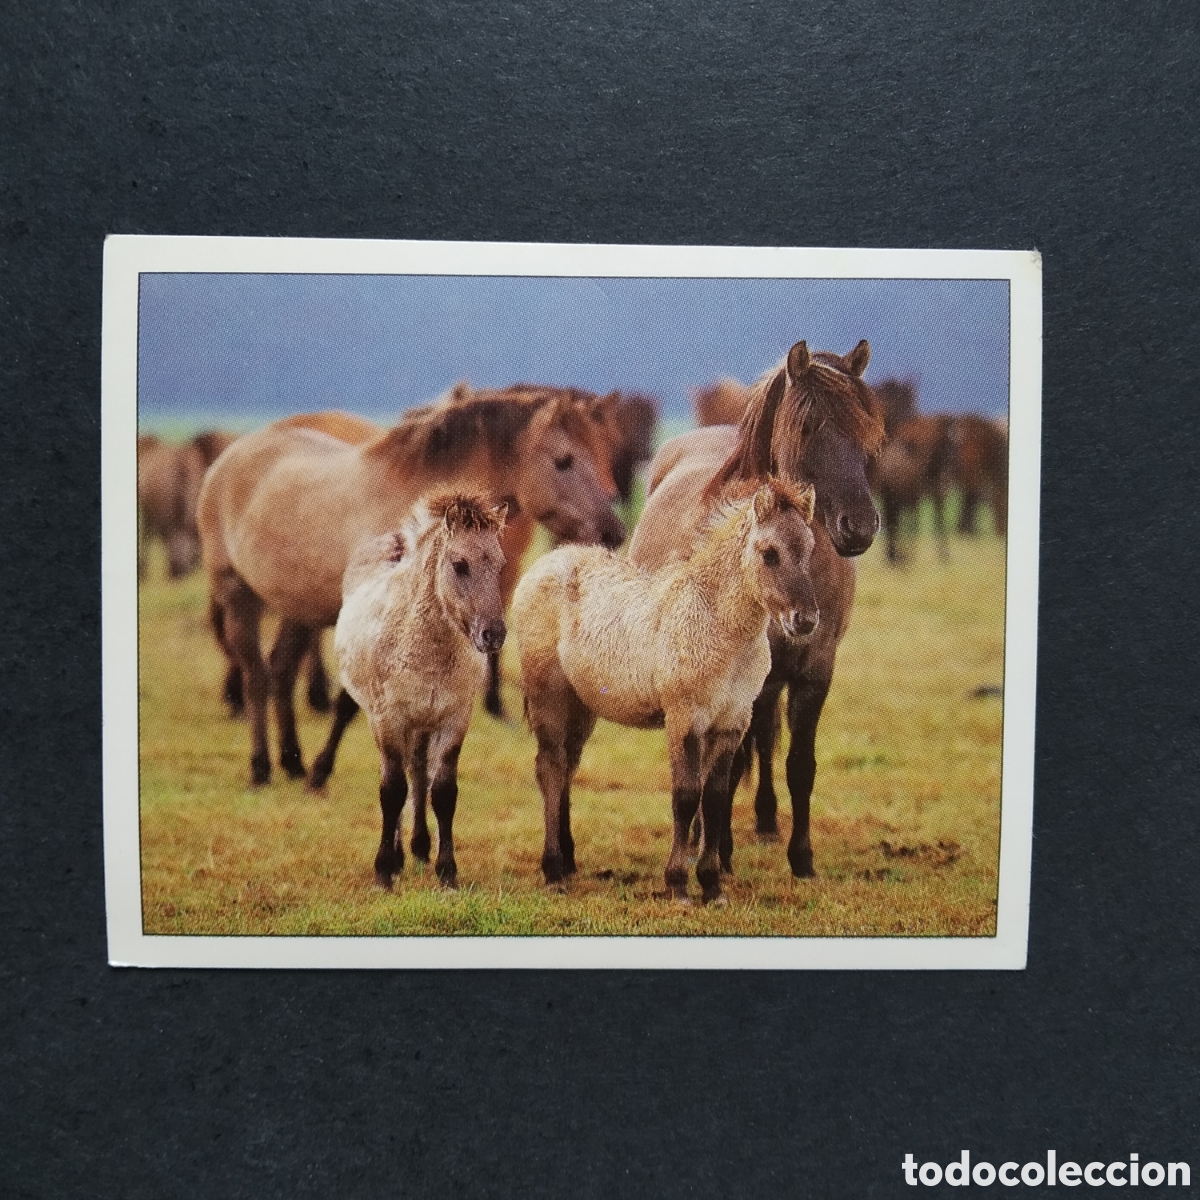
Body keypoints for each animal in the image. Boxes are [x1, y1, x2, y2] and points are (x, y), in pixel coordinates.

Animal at [198, 391, 625, 787]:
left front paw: (320, 770)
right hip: (237, 593)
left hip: (298, 608)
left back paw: (292, 763)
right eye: (564, 460)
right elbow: (351, 704)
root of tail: (229, 458)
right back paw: (261, 767)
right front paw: (322, 771)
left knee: (281, 673)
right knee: (256, 676)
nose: (613, 532)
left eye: (601, 455)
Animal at [336, 494, 508, 889]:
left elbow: (442, 791)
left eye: (501, 566)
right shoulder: (389, 719)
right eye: (460, 565)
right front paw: (384, 871)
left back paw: (418, 848)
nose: (494, 635)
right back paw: (400, 855)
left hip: (422, 725)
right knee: (398, 777)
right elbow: (391, 791)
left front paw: (447, 873)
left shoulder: (453, 719)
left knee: (417, 773)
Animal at [513, 476, 818, 905]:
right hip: (549, 697)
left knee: (567, 766)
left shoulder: (731, 723)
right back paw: (554, 871)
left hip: (583, 706)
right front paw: (677, 884)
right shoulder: (684, 719)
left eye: (809, 549)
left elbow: (715, 798)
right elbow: (686, 796)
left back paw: (570, 863)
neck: (720, 628)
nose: (804, 620)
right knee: (550, 769)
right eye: (769, 553)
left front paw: (713, 886)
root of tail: (543, 565)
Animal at [628, 340, 884, 878]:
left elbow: (799, 765)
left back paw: (765, 823)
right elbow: (719, 772)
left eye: (867, 431)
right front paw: (718, 855)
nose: (859, 526)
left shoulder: (814, 671)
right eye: (808, 427)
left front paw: (802, 858)